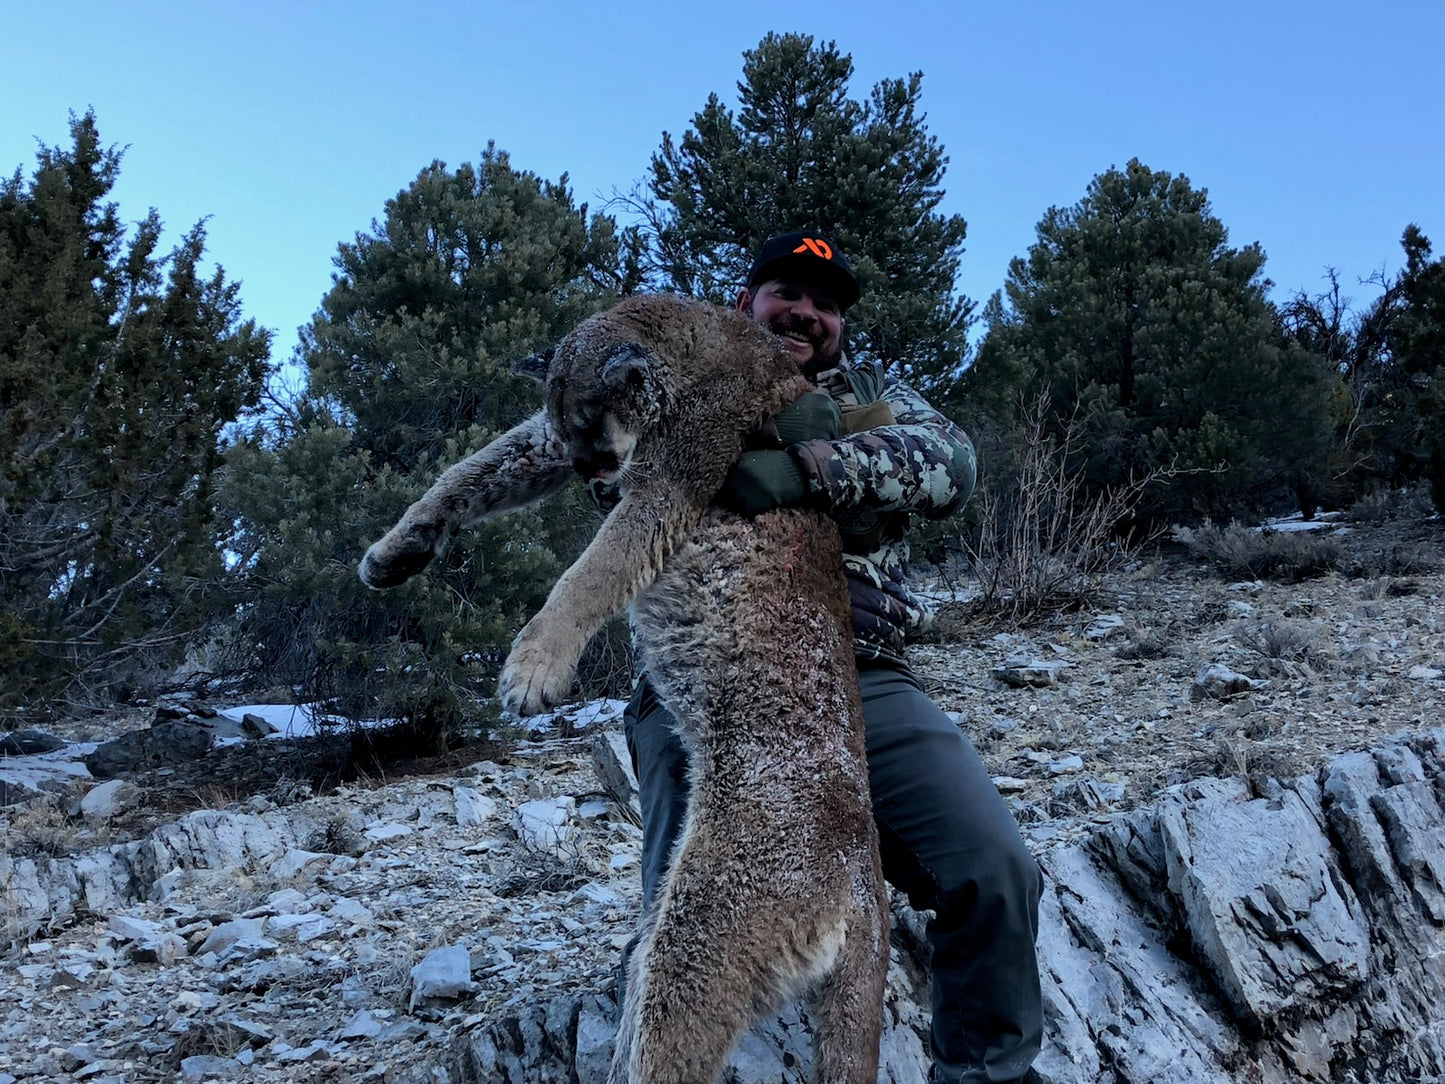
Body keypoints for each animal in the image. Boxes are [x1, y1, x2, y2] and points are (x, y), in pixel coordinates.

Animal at [360, 294, 888, 1084]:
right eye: (571, 437)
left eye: (596, 437)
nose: (591, 480)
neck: (695, 339)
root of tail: (866, 887)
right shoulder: (550, 443)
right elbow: (471, 467)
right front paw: (396, 550)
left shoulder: (673, 474)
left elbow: (592, 571)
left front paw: (534, 666)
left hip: (708, 917)